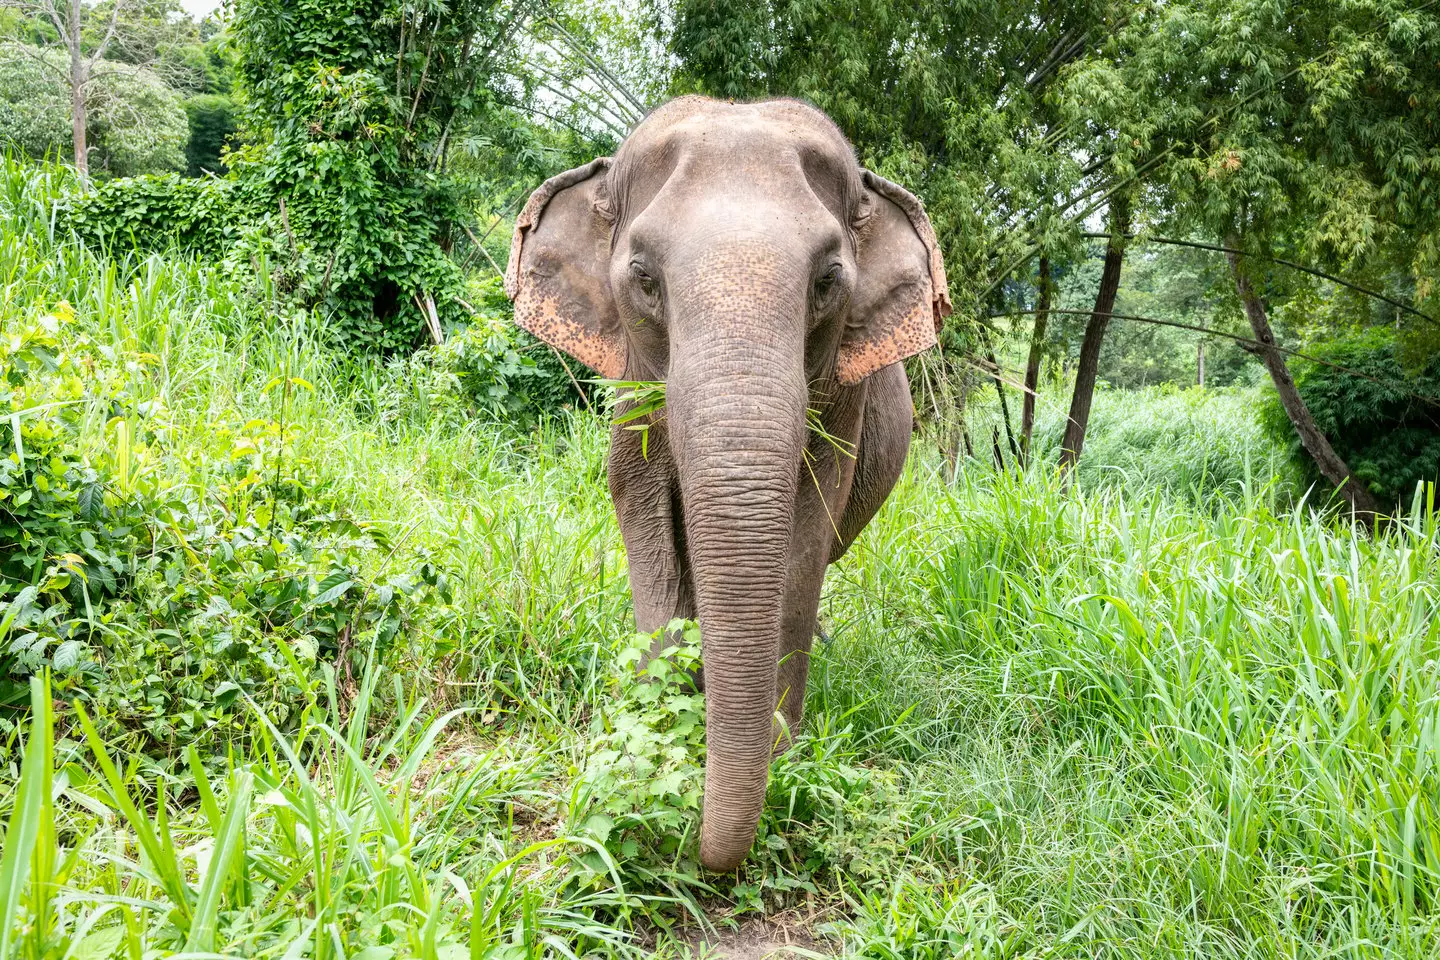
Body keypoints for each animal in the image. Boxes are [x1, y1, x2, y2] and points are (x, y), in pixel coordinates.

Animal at [505, 96, 950, 871]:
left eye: (828, 280)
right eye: (644, 278)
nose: (695, 840)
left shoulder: (843, 399)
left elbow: (807, 527)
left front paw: (782, 751)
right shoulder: (632, 382)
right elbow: (640, 504)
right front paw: (662, 734)